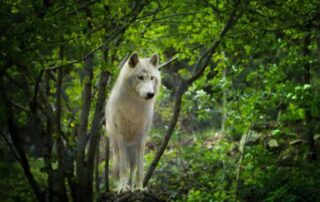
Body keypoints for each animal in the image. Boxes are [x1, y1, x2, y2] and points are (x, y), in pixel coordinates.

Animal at [104, 51, 160, 193]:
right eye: (140, 77)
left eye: (152, 78)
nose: (150, 94)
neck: (135, 106)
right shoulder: (121, 136)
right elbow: (123, 169)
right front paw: (123, 188)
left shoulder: (142, 138)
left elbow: (140, 170)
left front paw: (140, 188)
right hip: (116, 149)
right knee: (121, 168)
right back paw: (124, 186)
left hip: (133, 153)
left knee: (133, 170)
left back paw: (133, 188)